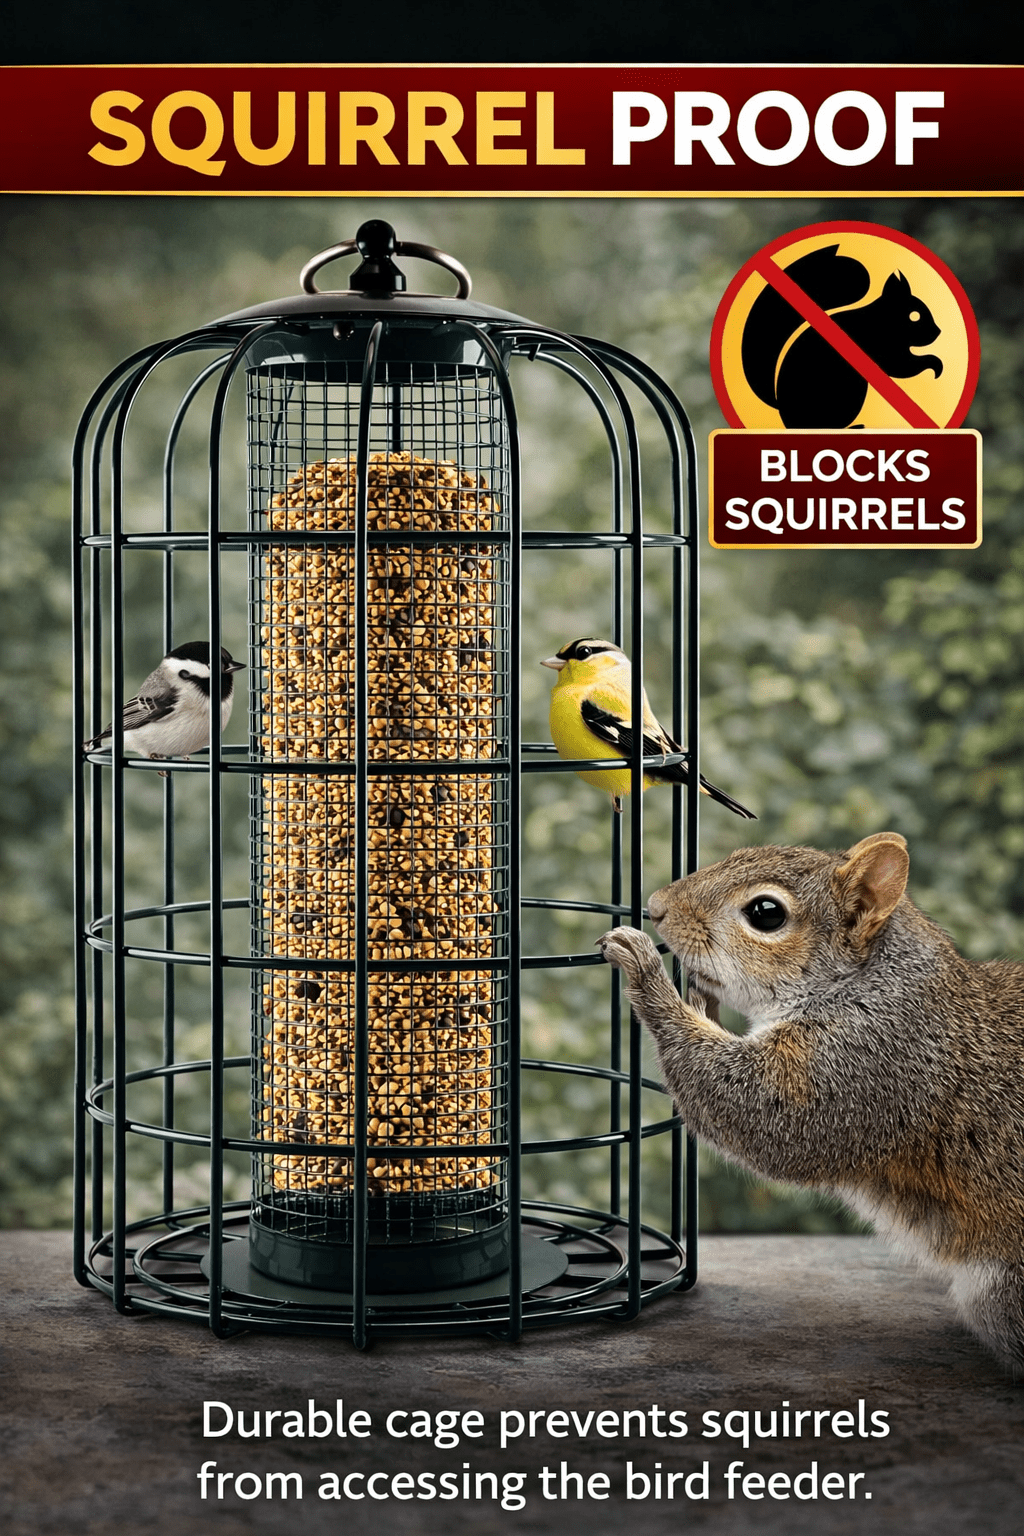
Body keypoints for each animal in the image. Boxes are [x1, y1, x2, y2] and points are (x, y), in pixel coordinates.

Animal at [598, 832, 1024, 1373]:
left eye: (766, 913)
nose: (655, 907)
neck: (867, 983)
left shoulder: (866, 1060)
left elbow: (761, 1113)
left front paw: (647, 973)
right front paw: (697, 994)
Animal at [740, 246, 944, 428]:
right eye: (914, 316)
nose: (938, 332)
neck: (881, 319)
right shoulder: (884, 347)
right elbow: (901, 367)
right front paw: (935, 364)